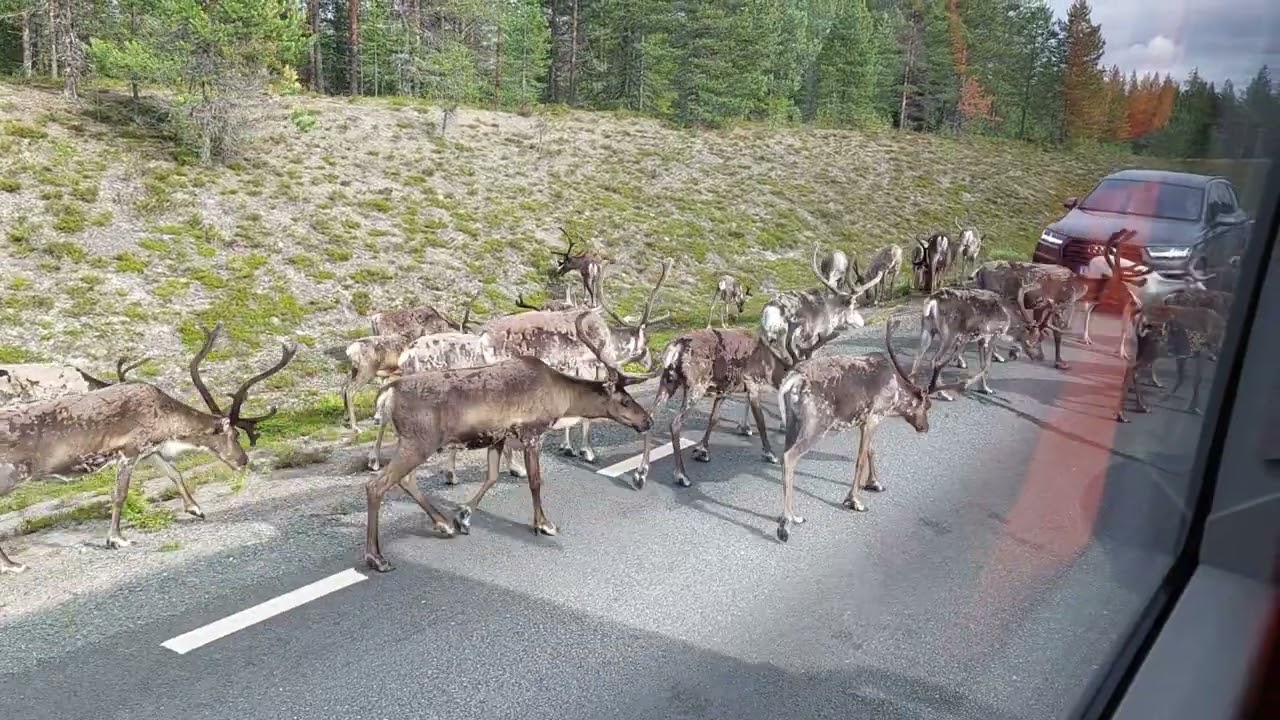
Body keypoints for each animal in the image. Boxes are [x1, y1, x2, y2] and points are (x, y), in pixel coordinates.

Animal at [0, 324, 294, 573]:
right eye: (233, 434)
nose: (244, 461)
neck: (166, 422)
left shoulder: (151, 450)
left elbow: (175, 473)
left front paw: (195, 509)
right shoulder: (129, 452)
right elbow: (120, 495)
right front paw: (116, 539)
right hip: (12, 474)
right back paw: (13, 565)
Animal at [632, 328, 790, 490]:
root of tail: (675, 347)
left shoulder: (724, 390)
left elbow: (714, 419)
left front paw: (702, 450)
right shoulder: (753, 384)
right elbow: (761, 422)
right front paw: (770, 453)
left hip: (668, 382)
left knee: (650, 416)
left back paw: (641, 474)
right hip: (696, 387)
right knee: (675, 423)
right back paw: (681, 475)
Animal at [773, 319, 969, 542]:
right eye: (927, 406)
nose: (925, 427)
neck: (895, 397)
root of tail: (792, 379)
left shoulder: (865, 420)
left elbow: (871, 451)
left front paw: (875, 483)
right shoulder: (875, 416)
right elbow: (860, 459)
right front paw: (855, 501)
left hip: (792, 422)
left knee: (784, 457)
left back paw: (792, 516)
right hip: (815, 425)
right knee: (789, 457)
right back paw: (786, 523)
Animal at [908, 284, 1056, 397]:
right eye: (1036, 340)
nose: (1041, 357)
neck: (1008, 323)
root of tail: (931, 301)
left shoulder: (981, 339)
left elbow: (982, 364)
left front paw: (984, 388)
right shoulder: (993, 334)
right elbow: (987, 365)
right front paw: (979, 386)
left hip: (927, 328)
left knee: (918, 356)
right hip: (949, 334)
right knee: (935, 360)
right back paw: (944, 394)